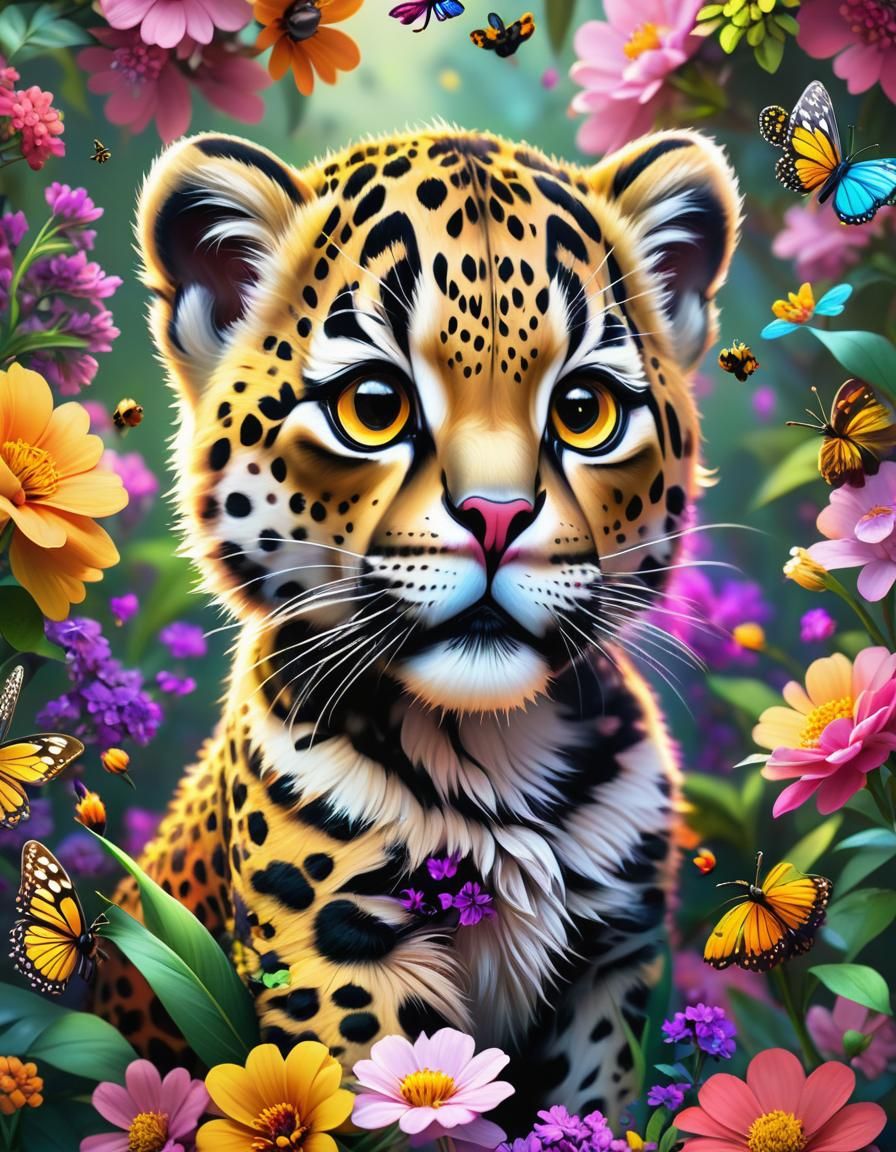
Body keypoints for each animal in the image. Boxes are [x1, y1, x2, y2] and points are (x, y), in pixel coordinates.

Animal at [96, 123, 740, 1128]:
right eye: (373, 406)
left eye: (584, 411)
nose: (497, 518)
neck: (496, 754)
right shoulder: (335, 954)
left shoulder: (611, 964)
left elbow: (588, 1105)